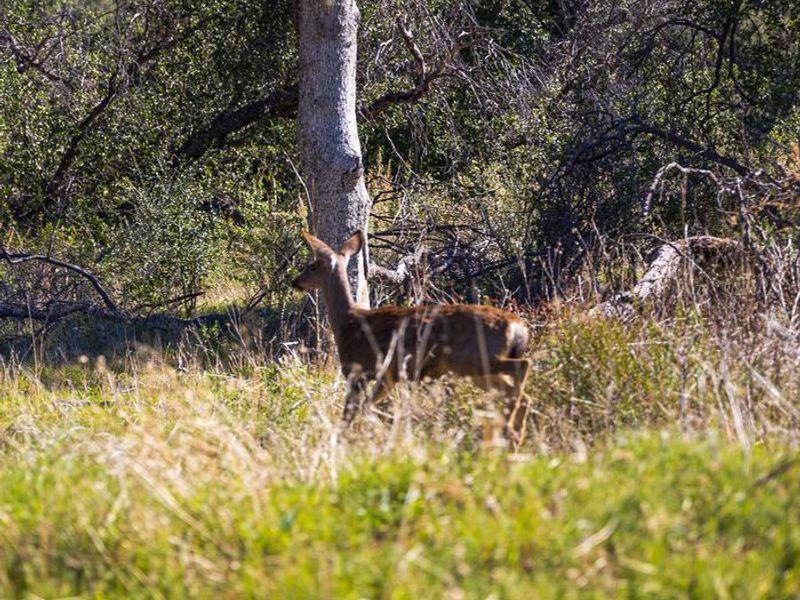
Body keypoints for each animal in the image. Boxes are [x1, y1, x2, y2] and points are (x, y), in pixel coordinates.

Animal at [291, 230, 532, 442]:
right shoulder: (389, 375)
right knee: (522, 394)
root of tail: (518, 328)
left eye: (312, 266)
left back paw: (509, 427)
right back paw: (515, 434)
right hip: (474, 369)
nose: (295, 282)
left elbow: (352, 413)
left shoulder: (359, 370)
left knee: (523, 367)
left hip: (472, 359)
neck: (347, 323)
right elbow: (368, 407)